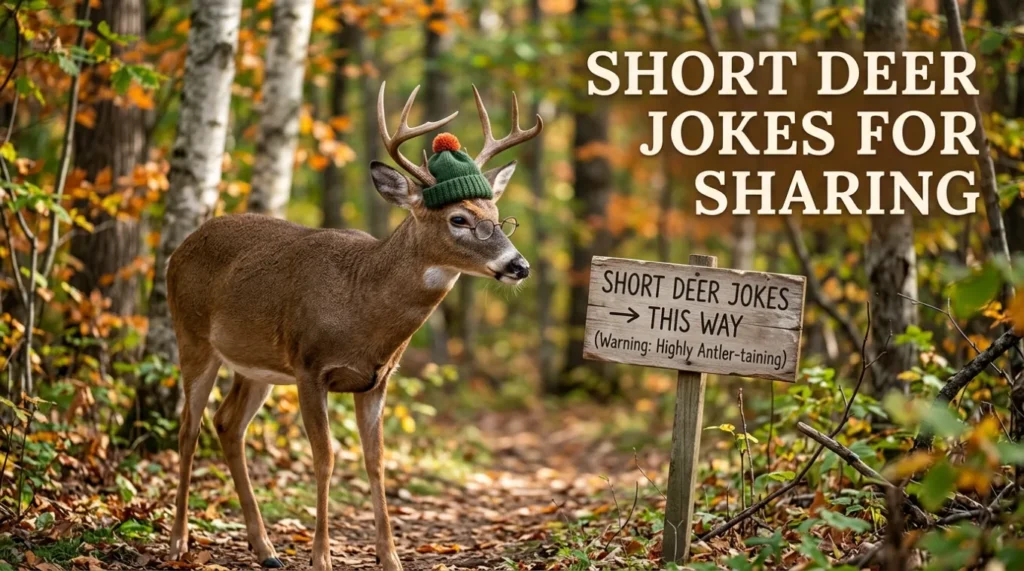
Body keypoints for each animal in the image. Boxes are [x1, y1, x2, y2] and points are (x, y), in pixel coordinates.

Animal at [166, 82, 542, 571]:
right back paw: (179, 540)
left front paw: (390, 557)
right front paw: (321, 557)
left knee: (227, 424)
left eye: (498, 217)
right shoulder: (309, 366)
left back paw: (265, 548)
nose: (519, 266)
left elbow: (375, 461)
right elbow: (325, 457)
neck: (361, 307)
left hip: (256, 366)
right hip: (191, 337)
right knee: (188, 428)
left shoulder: (376, 380)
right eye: (458, 218)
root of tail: (178, 250)